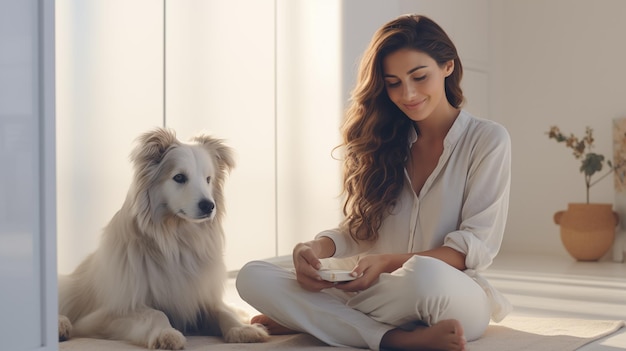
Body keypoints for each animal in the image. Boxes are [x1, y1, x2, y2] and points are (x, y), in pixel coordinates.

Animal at [59, 129, 270, 350]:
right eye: (179, 177)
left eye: (208, 179)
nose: (209, 206)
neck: (176, 239)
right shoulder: (108, 313)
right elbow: (156, 313)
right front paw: (166, 334)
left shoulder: (199, 298)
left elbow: (222, 310)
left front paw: (243, 329)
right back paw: (61, 326)